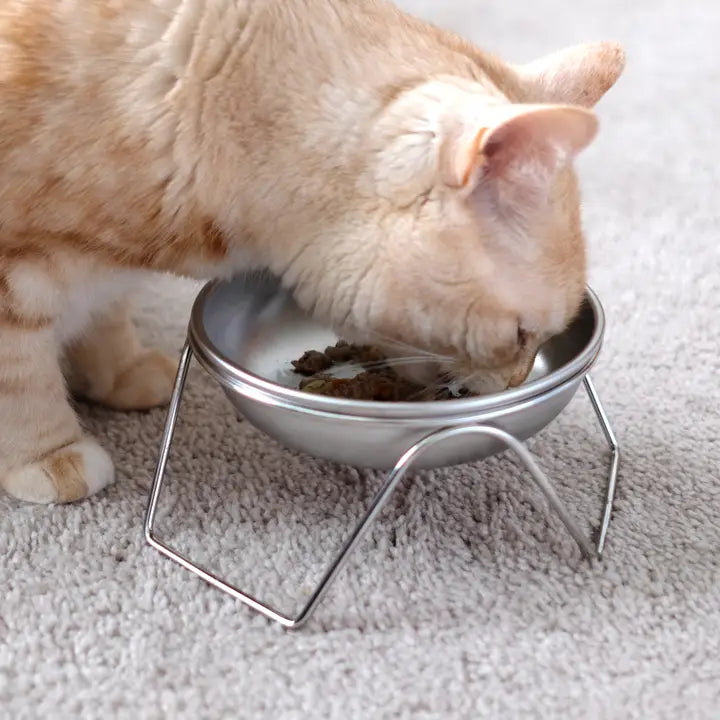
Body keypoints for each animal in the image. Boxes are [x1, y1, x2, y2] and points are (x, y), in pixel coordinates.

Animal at [0, 1, 624, 506]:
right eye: (520, 335)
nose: (518, 382)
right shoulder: (16, 282)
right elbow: (23, 376)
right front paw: (49, 454)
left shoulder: (108, 272)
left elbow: (105, 317)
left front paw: (119, 372)